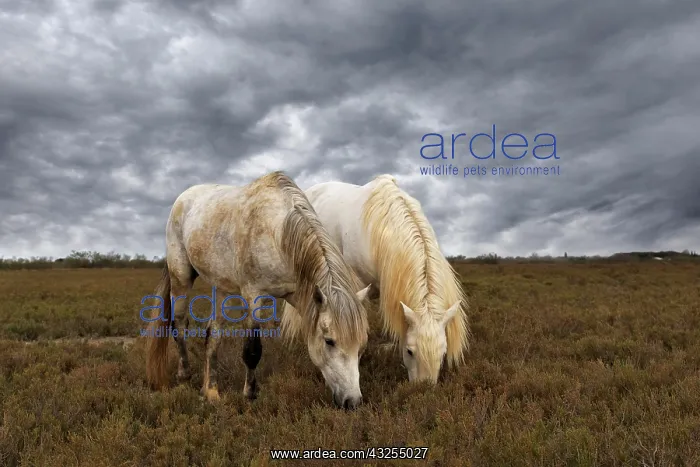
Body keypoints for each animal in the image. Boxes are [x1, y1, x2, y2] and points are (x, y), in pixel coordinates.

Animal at [144, 171, 371, 409]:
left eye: (361, 344)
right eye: (329, 341)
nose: (352, 401)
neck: (279, 234)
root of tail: (183, 198)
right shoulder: (254, 296)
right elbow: (252, 350)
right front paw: (250, 393)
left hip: (221, 288)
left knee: (212, 334)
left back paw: (211, 391)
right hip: (181, 278)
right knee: (178, 324)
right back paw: (184, 375)